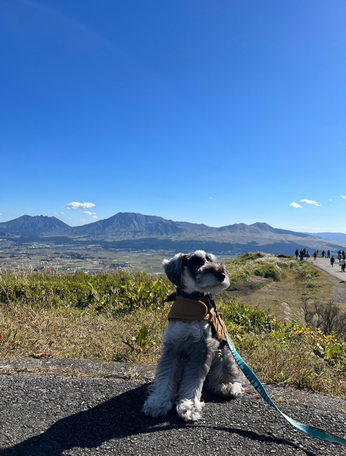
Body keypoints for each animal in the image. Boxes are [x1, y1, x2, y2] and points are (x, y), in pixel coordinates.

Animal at [142, 249, 245, 420]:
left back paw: (228, 386)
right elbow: (166, 375)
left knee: (229, 374)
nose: (222, 274)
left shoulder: (202, 349)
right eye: (198, 262)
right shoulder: (172, 346)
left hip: (223, 353)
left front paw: (189, 407)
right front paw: (158, 402)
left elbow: (192, 382)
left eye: (212, 260)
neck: (191, 303)